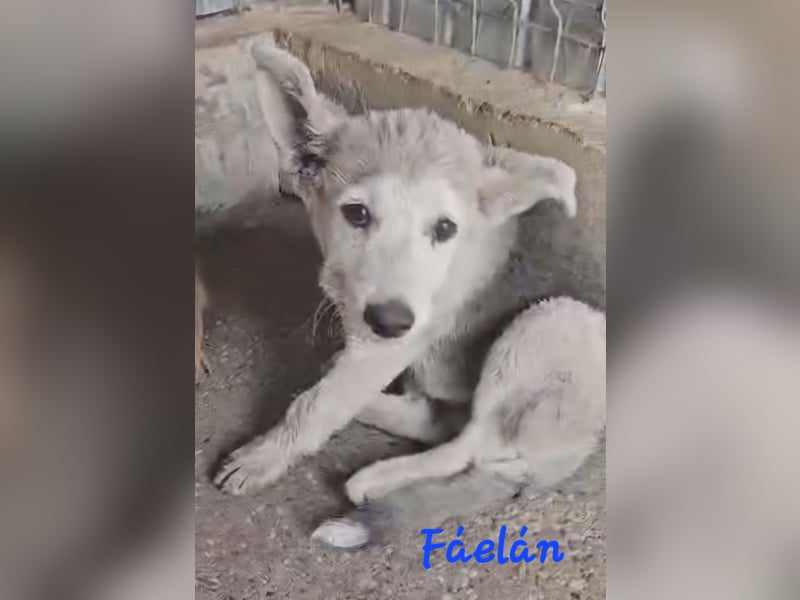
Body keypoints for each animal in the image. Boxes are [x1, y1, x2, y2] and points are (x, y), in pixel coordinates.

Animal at [214, 43, 606, 546]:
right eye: (357, 214)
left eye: (445, 228)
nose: (390, 321)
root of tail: (551, 468)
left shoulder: (396, 340)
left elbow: (317, 404)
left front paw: (263, 457)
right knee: (444, 422)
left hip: (553, 320)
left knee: (471, 446)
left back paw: (373, 479)